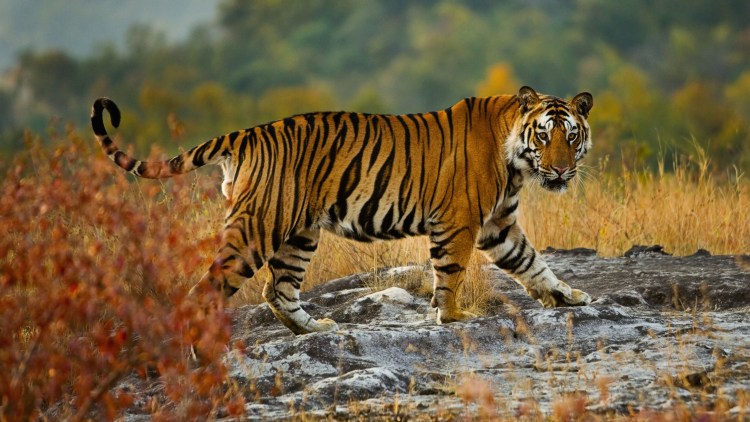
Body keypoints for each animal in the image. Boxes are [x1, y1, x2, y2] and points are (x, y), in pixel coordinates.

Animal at [90, 86, 593, 335]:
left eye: (571, 137)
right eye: (544, 136)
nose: (561, 170)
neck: (517, 162)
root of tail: (247, 133)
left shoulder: (498, 225)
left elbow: (532, 262)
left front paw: (566, 296)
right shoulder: (459, 222)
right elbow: (450, 274)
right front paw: (452, 318)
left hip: (298, 234)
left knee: (278, 290)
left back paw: (315, 329)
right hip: (257, 228)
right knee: (207, 290)